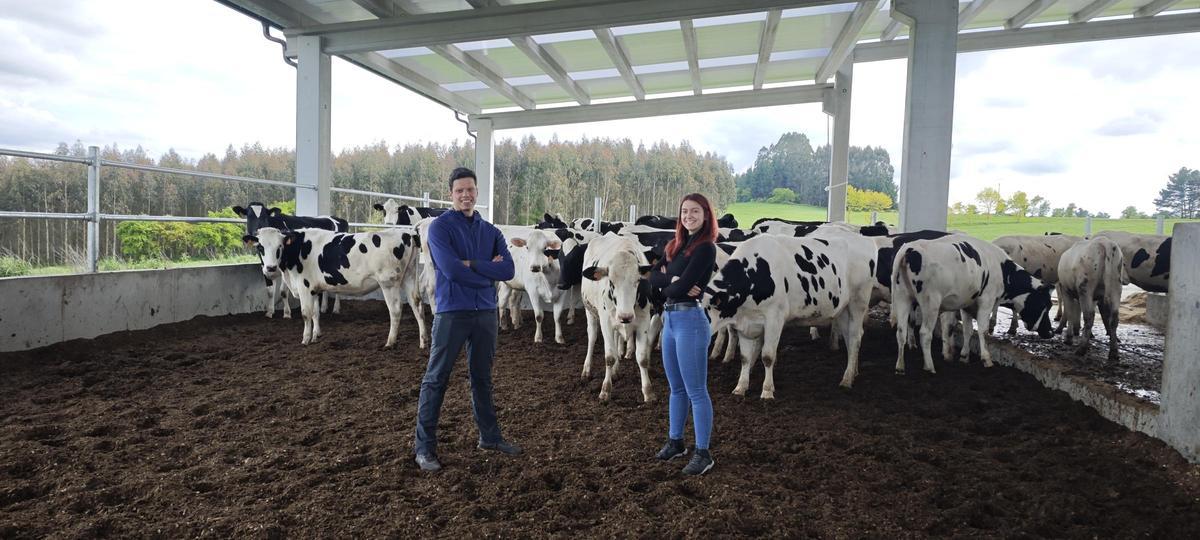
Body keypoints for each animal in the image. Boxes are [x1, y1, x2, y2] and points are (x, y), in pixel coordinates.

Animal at [241, 225, 424, 348]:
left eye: (279, 247)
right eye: (260, 247)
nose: (270, 268)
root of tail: (408, 232)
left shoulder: (304, 286)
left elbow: (306, 314)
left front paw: (305, 339)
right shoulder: (314, 288)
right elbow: (315, 313)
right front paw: (316, 335)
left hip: (389, 282)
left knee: (396, 310)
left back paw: (390, 341)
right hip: (409, 277)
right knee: (416, 304)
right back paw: (423, 340)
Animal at [578, 234, 657, 403]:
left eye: (637, 281)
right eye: (611, 281)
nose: (625, 316)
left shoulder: (643, 322)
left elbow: (642, 358)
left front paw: (648, 392)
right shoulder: (606, 322)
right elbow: (609, 357)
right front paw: (605, 390)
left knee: (616, 340)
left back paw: (615, 371)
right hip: (590, 312)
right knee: (592, 337)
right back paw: (586, 370)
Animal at [892, 236, 1051, 374]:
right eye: (1046, 304)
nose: (1050, 332)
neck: (1001, 269)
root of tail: (909, 249)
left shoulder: (967, 304)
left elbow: (968, 330)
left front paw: (964, 356)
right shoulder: (987, 300)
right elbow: (983, 331)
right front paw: (986, 359)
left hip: (902, 298)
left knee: (901, 332)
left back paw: (900, 367)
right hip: (931, 303)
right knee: (925, 333)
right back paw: (929, 367)